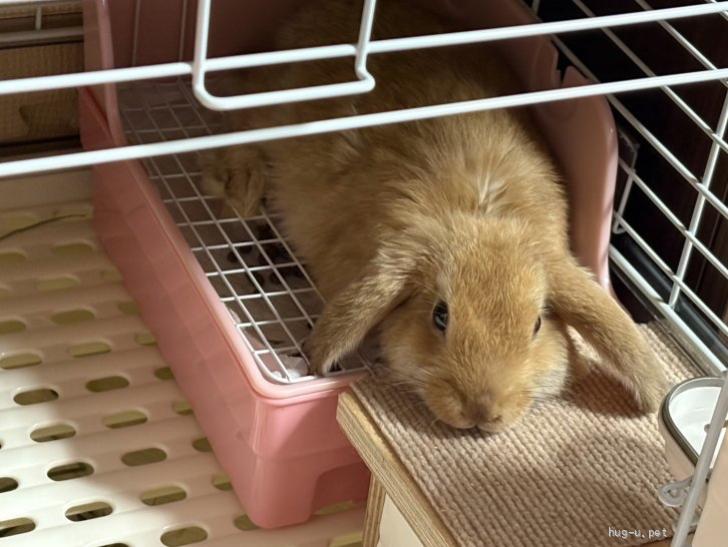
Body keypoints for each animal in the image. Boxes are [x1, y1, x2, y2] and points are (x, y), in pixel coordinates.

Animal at [201, 0, 667, 432]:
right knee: (240, 125)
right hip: (268, 111)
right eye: (439, 316)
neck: (480, 214)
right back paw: (241, 189)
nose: (481, 411)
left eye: (536, 324)